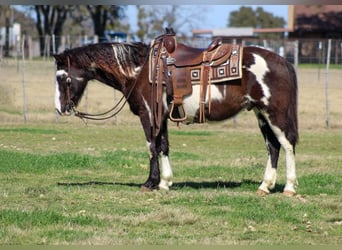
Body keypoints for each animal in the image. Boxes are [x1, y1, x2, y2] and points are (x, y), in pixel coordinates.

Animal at [52, 33, 296, 197]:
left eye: (63, 78)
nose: (60, 108)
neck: (140, 70)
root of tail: (283, 61)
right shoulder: (161, 117)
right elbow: (164, 146)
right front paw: (165, 182)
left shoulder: (148, 114)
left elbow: (152, 146)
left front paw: (150, 183)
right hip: (260, 114)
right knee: (273, 147)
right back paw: (264, 186)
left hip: (275, 114)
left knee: (287, 145)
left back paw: (289, 188)